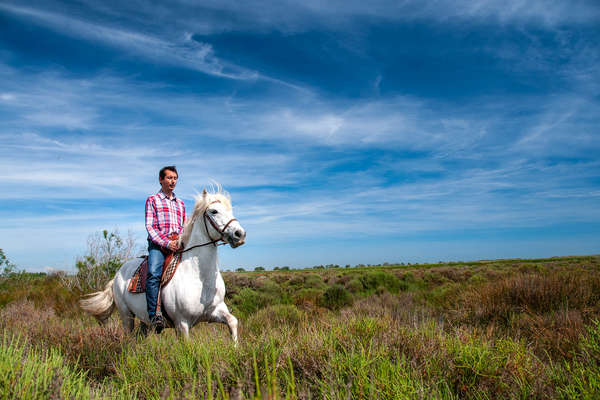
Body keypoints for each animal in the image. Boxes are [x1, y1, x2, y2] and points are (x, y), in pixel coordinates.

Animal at [81, 188, 245, 340]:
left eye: (230, 210)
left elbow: (233, 322)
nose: (240, 234)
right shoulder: (182, 324)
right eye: (214, 211)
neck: (200, 279)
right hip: (126, 316)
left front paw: (235, 347)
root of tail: (117, 275)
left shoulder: (215, 311)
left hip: (144, 321)